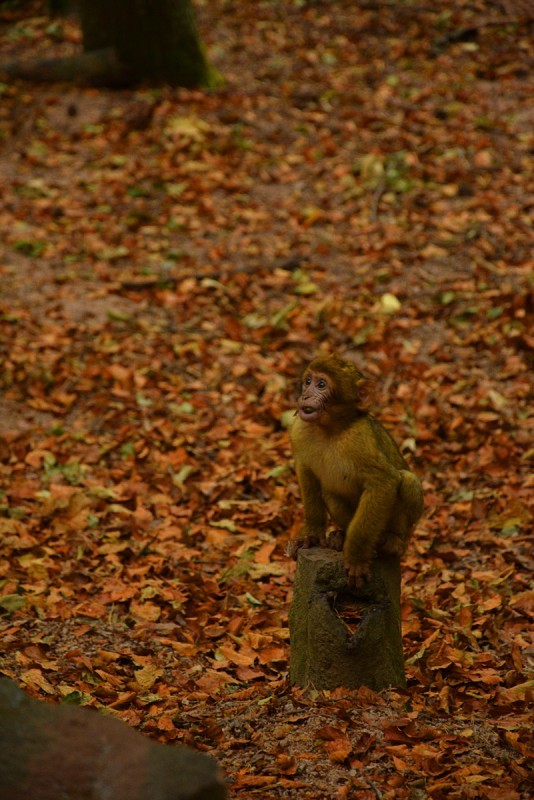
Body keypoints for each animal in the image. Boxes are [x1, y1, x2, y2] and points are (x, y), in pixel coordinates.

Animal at [292, 356, 426, 588]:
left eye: (321, 384)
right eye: (308, 381)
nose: (305, 395)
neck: (331, 429)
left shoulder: (361, 439)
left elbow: (384, 481)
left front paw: (355, 555)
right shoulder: (299, 430)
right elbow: (306, 471)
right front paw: (312, 532)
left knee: (408, 480)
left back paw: (392, 541)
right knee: (330, 493)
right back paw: (341, 535)